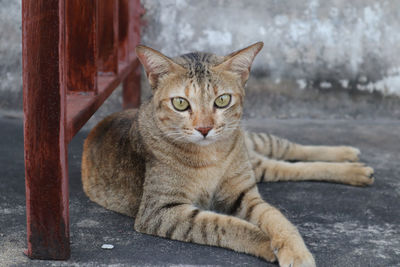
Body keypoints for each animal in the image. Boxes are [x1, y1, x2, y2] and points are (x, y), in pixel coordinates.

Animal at [81, 43, 376, 266]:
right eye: (180, 103)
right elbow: (223, 225)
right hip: (257, 165)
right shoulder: (160, 211)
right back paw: (356, 169)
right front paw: (267, 244)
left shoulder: (243, 193)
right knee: (286, 167)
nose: (204, 128)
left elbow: (276, 218)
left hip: (253, 148)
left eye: (222, 100)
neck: (211, 155)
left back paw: (349, 156)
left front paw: (294, 250)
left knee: (290, 149)